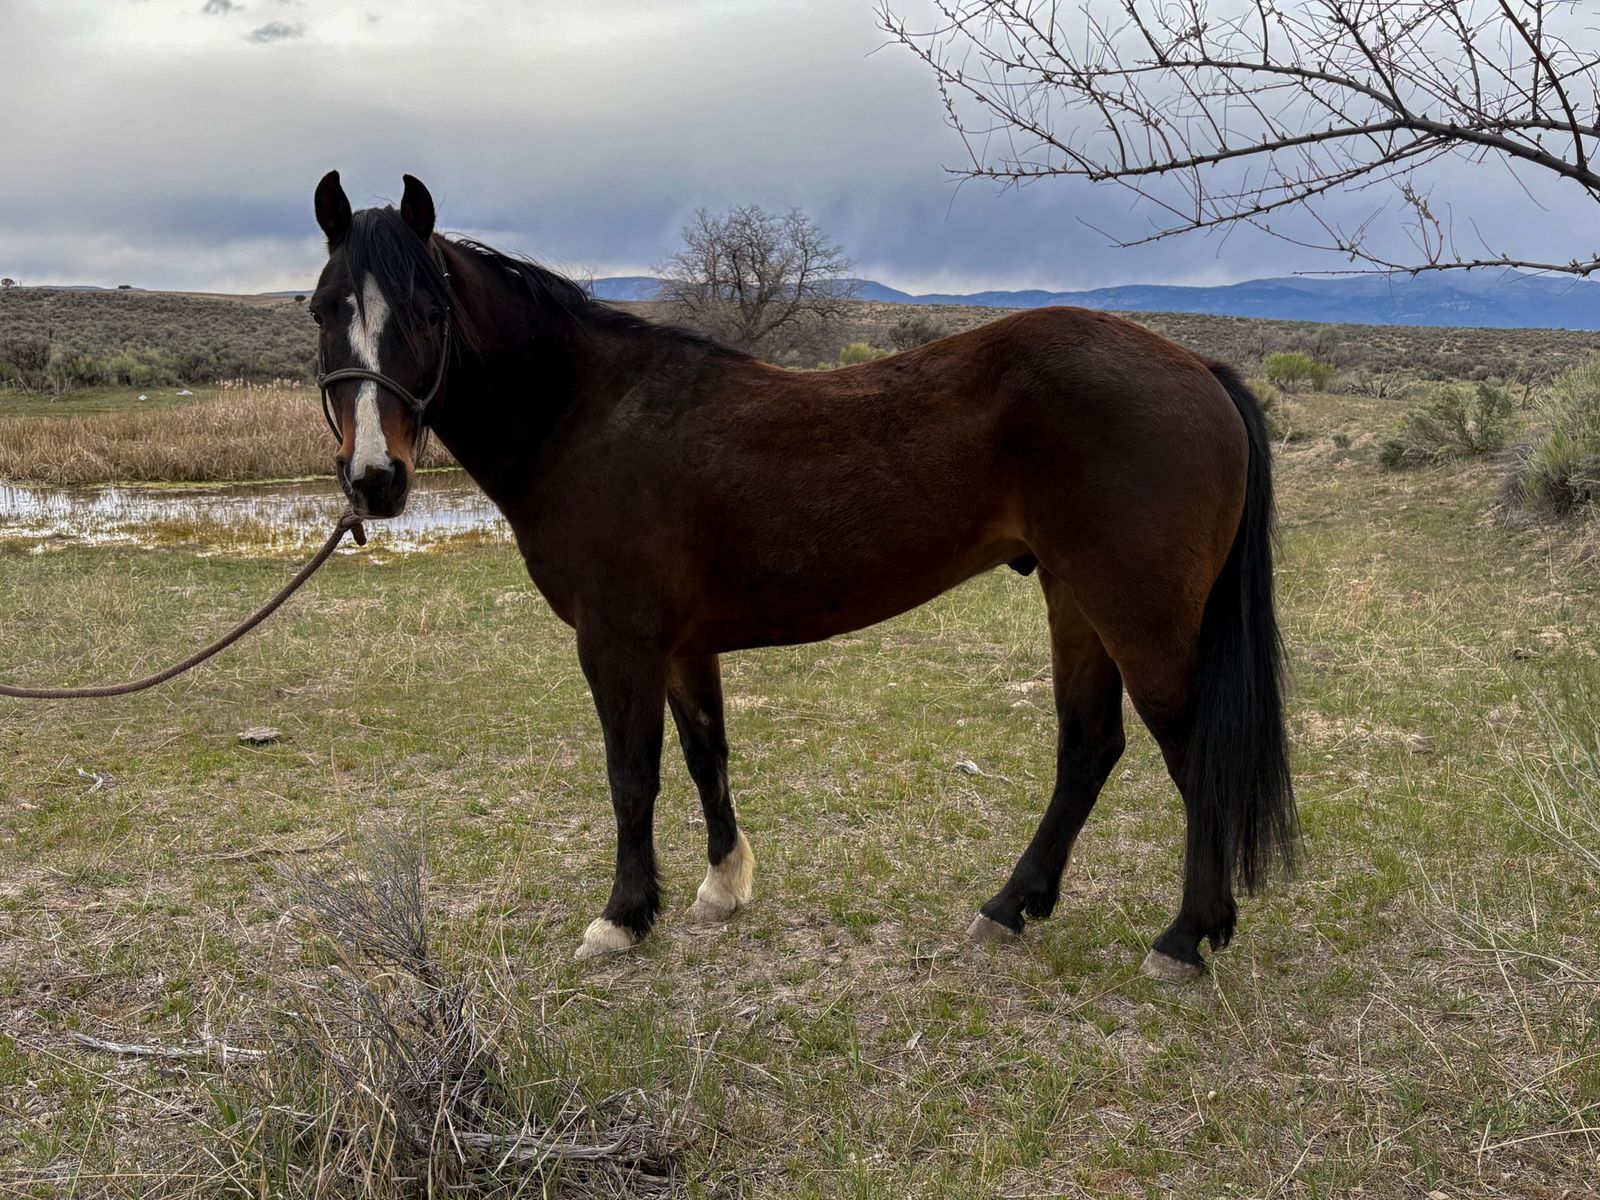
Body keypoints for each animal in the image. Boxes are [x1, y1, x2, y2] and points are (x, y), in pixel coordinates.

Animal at [309, 171, 1297, 981]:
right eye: (323, 309)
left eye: (428, 313)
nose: (376, 479)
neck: (583, 416)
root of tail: (1198, 371)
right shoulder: (681, 646)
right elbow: (705, 755)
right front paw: (722, 888)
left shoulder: (618, 642)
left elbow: (633, 776)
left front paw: (623, 919)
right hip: (1074, 599)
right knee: (1089, 749)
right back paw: (1011, 908)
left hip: (1137, 613)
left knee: (1191, 752)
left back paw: (1186, 936)